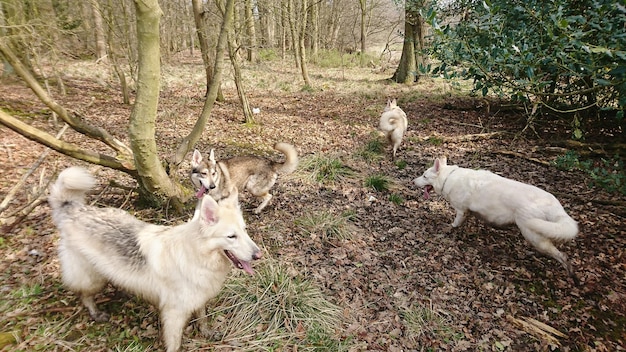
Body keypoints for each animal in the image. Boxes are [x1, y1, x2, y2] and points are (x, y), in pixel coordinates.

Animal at [412, 158, 576, 284]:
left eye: (424, 176)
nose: (413, 181)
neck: (449, 178)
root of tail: (553, 203)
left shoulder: (460, 211)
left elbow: (455, 224)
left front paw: (449, 229)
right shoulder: (469, 212)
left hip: (532, 234)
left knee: (561, 256)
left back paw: (571, 274)